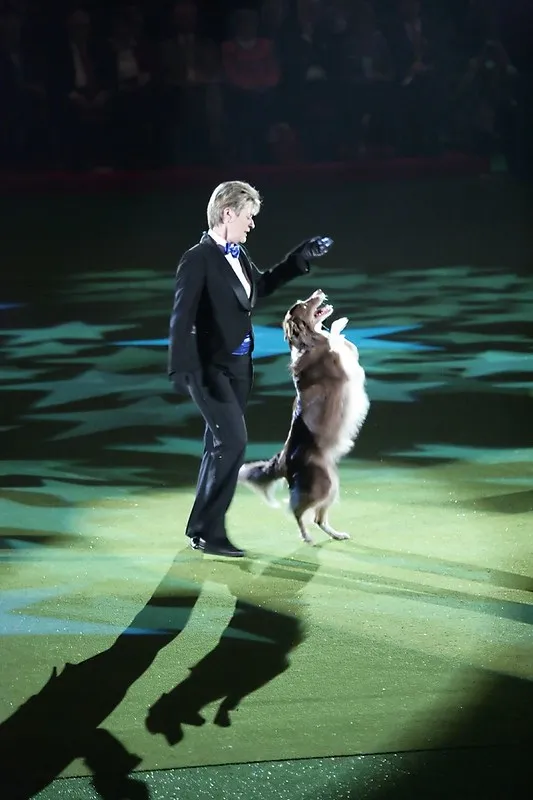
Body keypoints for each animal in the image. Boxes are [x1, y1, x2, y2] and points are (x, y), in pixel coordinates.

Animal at [239, 290, 368, 548]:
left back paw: (335, 534)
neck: (307, 342)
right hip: (323, 486)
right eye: (304, 304)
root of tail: (282, 459)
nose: (318, 292)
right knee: (296, 511)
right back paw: (307, 537)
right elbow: (335, 341)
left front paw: (338, 325)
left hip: (330, 486)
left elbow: (343, 341)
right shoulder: (341, 366)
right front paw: (337, 327)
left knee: (317, 517)